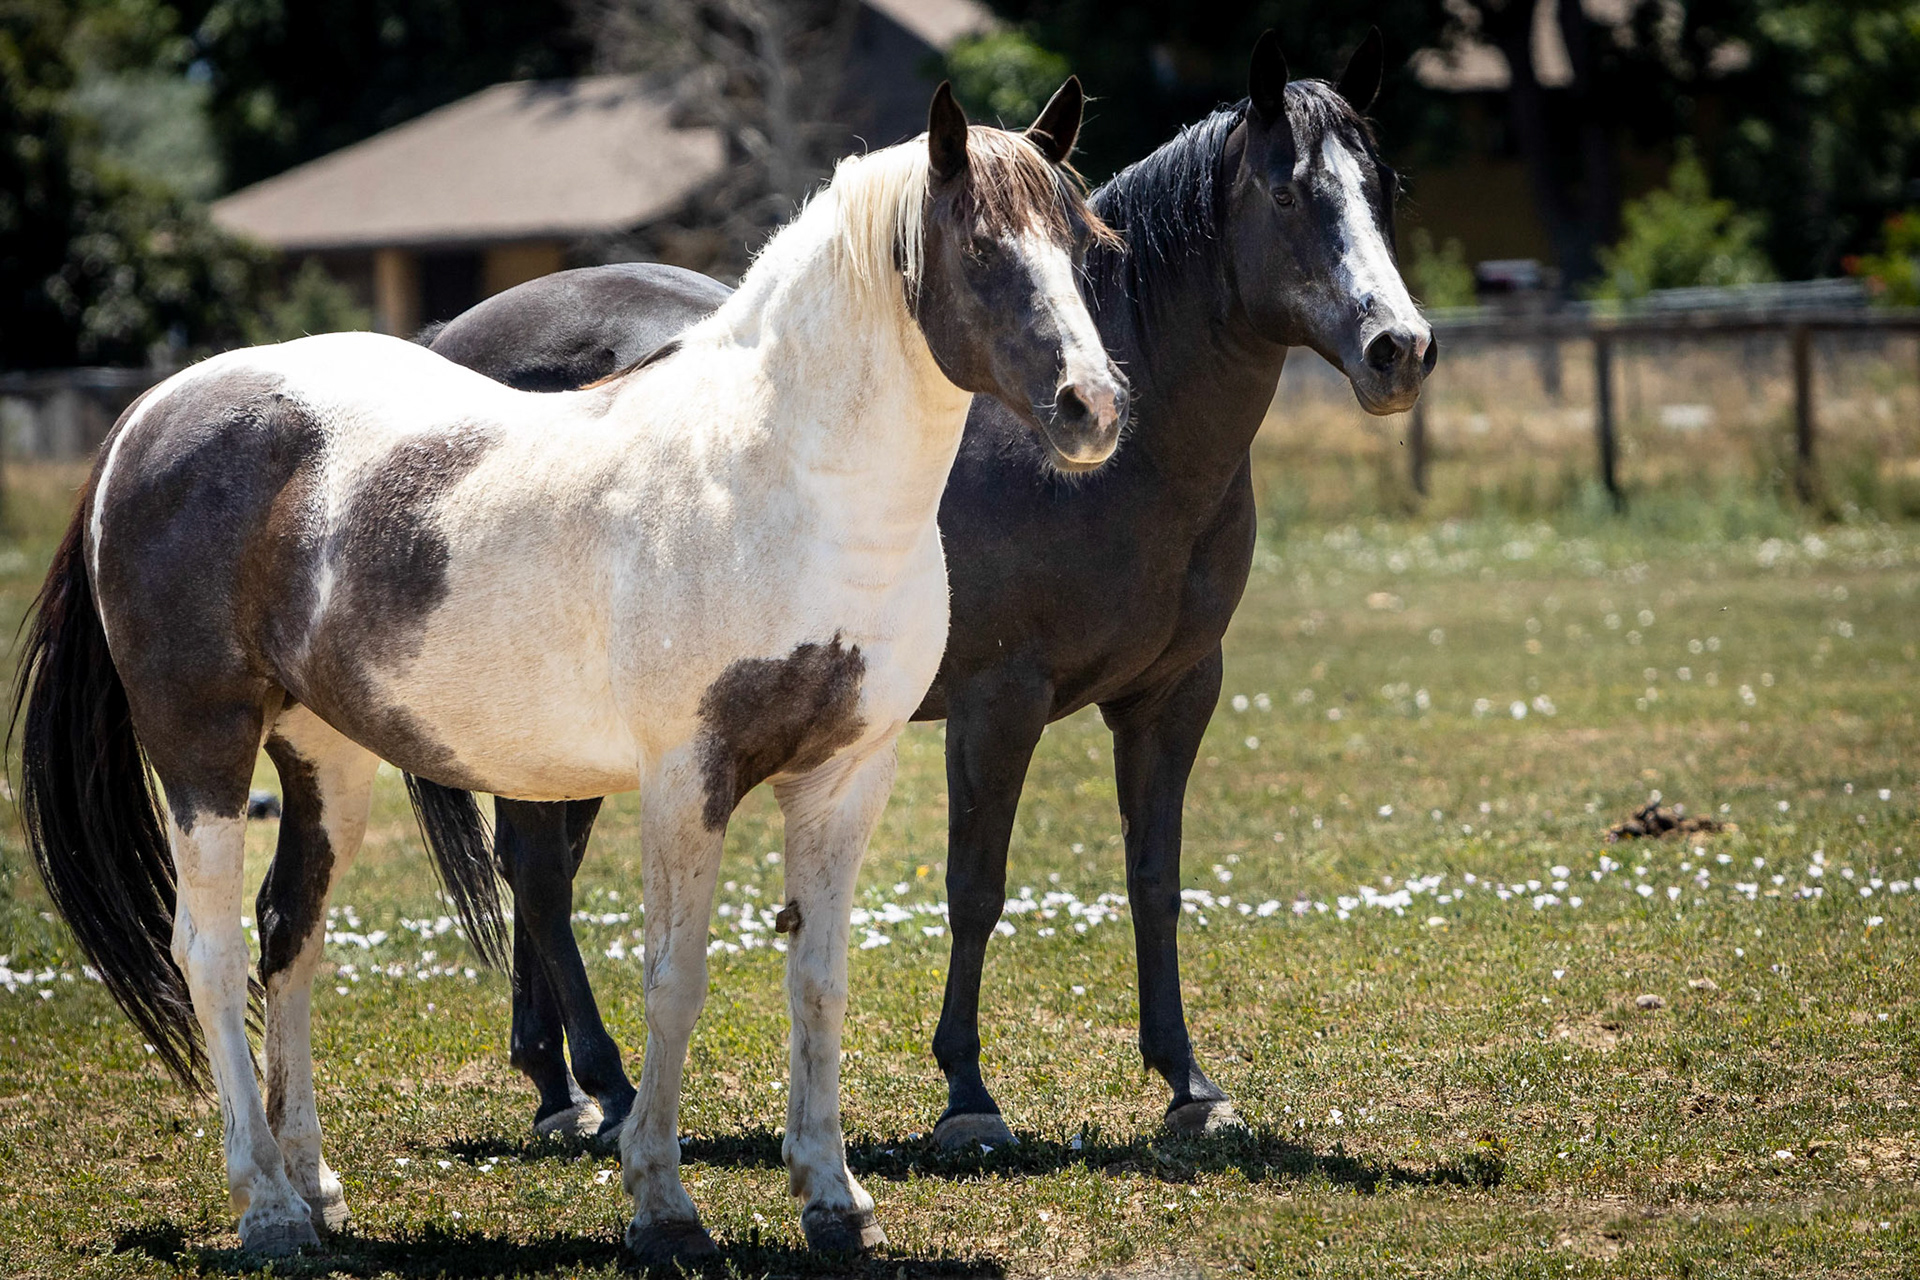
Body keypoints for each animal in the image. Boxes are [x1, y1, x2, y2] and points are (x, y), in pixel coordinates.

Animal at [10, 82, 1126, 1261]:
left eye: (1083, 245)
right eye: (980, 246)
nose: (1091, 406)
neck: (782, 482)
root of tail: (149, 415)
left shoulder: (844, 776)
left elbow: (818, 982)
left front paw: (833, 1198)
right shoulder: (689, 776)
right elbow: (674, 980)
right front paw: (664, 1203)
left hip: (324, 757)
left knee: (288, 940)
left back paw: (315, 1189)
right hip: (203, 748)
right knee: (212, 952)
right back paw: (266, 1205)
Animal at [416, 29, 1432, 1149]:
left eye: (1381, 186)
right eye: (1288, 192)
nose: (1399, 349)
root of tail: (449, 343)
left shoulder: (1173, 696)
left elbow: (1155, 882)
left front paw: (1188, 1083)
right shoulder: (999, 702)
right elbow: (976, 888)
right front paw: (969, 1094)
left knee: (536, 863)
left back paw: (559, 1085)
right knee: (540, 874)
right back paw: (609, 1082)